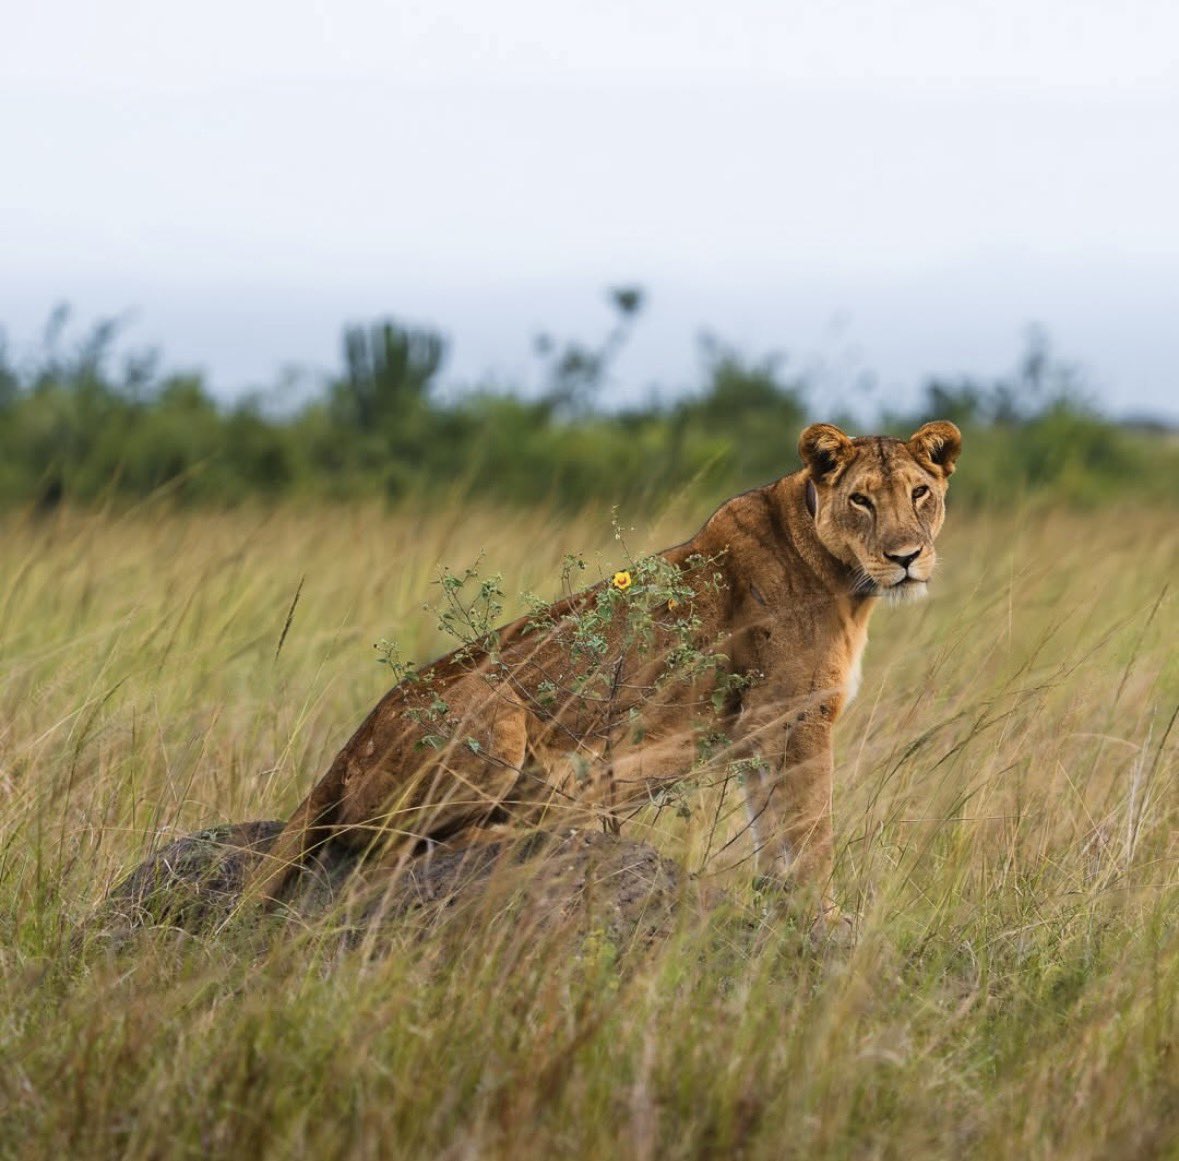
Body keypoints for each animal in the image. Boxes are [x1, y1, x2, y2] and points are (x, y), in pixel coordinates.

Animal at [248, 421, 961, 921]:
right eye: (862, 501)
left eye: (920, 493)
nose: (906, 557)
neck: (846, 581)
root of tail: (343, 753)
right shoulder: (796, 717)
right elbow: (812, 832)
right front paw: (826, 917)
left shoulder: (762, 733)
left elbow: (774, 832)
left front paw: (783, 905)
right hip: (494, 710)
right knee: (387, 854)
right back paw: (530, 822)